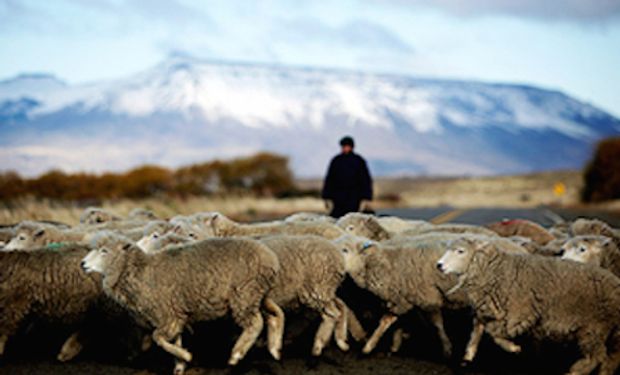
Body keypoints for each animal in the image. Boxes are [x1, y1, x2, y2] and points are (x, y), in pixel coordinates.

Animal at [81, 234, 280, 374]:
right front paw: (179, 365)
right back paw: (275, 348)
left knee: (256, 324)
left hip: (244, 294)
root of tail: (271, 258)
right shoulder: (174, 315)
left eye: (104, 251)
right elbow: (173, 340)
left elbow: (158, 338)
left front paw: (186, 356)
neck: (142, 272)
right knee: (275, 314)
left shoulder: (167, 315)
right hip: (257, 294)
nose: (83, 264)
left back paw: (237, 354)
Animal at [436, 238, 620, 375]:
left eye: (460, 251)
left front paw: (514, 348)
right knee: (609, 358)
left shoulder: (519, 314)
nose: (439, 265)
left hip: (595, 327)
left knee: (596, 356)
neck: (494, 271)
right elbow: (477, 330)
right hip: (608, 331)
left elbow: (494, 333)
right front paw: (468, 356)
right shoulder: (488, 308)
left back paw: (574, 371)